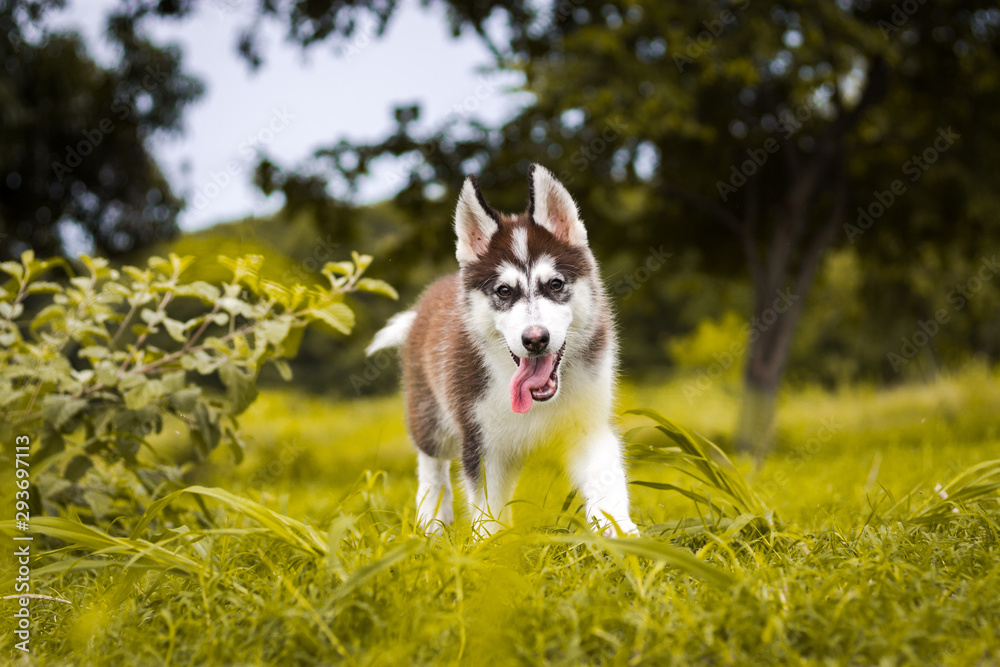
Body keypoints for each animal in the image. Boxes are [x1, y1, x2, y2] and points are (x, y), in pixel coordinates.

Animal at [370, 166, 640, 536]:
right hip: (431, 417)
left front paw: (620, 532)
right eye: (503, 291)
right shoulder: (480, 440)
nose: (535, 339)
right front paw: (490, 546)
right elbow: (486, 509)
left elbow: (605, 477)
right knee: (432, 465)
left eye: (555, 284)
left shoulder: (589, 424)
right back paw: (432, 521)